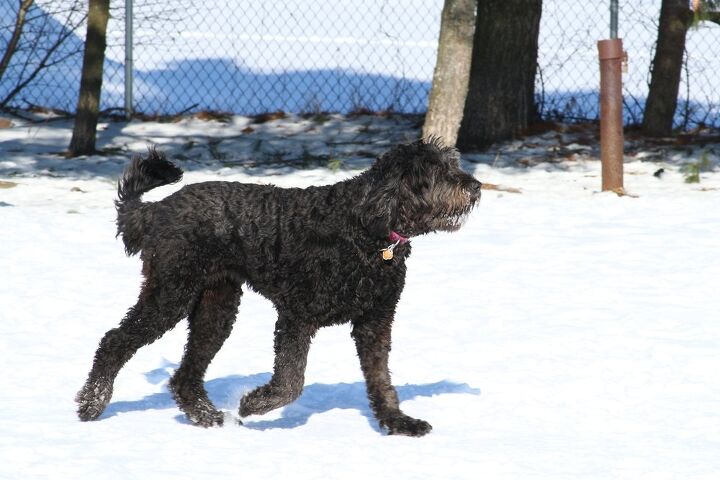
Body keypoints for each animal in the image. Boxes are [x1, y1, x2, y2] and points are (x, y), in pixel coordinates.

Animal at [76, 138, 480, 436]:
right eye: (437, 172)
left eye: (453, 164)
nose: (475, 185)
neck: (367, 228)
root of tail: (156, 210)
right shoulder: (296, 316)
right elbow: (291, 382)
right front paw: (254, 403)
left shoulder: (375, 322)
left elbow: (381, 380)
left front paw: (397, 422)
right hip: (169, 296)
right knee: (114, 341)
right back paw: (93, 402)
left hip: (215, 308)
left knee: (185, 374)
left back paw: (205, 415)